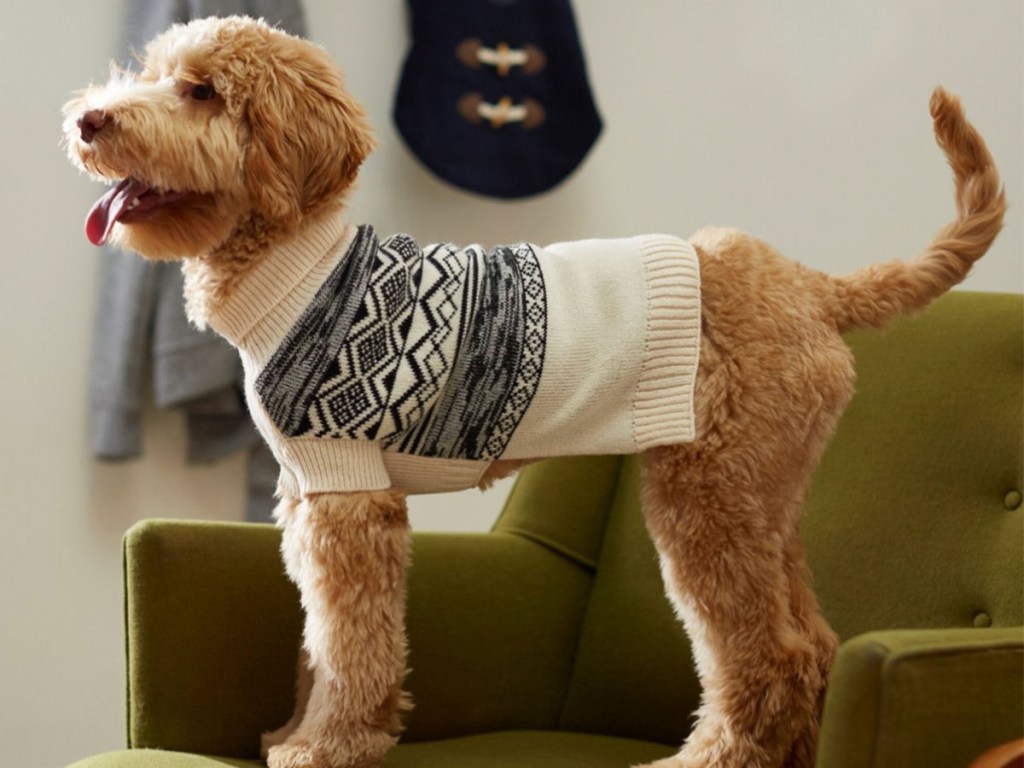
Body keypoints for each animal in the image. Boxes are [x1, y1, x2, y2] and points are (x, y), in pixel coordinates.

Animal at [64, 15, 1007, 768]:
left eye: (201, 91)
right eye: (152, 72)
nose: (86, 120)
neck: (298, 267)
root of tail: (809, 284)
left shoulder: (348, 497)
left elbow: (350, 641)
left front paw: (327, 747)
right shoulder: (309, 498)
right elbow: (319, 642)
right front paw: (300, 731)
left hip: (706, 499)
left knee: (765, 653)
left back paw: (707, 759)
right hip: (764, 497)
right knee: (812, 645)